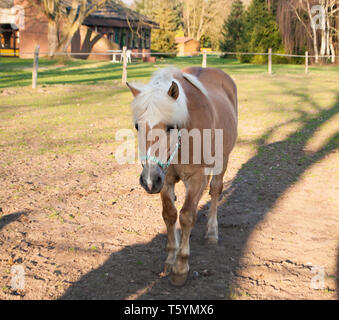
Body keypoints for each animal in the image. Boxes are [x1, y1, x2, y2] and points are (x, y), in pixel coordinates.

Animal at [126, 66, 238, 286]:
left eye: (170, 126)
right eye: (137, 126)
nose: (148, 180)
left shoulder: (196, 178)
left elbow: (186, 215)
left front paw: (180, 267)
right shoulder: (165, 179)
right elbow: (170, 215)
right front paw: (171, 258)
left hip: (222, 161)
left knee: (215, 191)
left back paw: (212, 234)